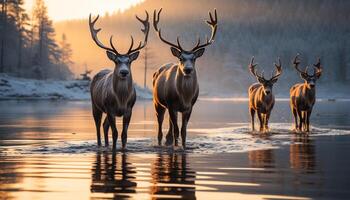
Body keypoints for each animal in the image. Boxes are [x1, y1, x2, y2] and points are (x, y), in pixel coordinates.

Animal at [88, 10, 150, 148]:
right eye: (116, 61)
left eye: (129, 61)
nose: (124, 72)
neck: (121, 99)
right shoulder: (110, 108)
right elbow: (115, 133)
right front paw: (114, 149)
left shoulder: (129, 109)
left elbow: (124, 135)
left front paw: (122, 148)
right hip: (95, 105)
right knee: (98, 127)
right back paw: (100, 145)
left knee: (104, 126)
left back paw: (106, 145)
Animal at [152, 8, 217, 148]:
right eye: (181, 58)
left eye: (194, 58)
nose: (188, 69)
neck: (184, 97)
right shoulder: (172, 104)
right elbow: (177, 130)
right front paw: (177, 147)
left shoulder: (189, 107)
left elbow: (183, 131)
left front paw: (184, 146)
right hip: (158, 102)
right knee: (160, 125)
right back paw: (161, 142)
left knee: (170, 124)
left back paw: (168, 140)